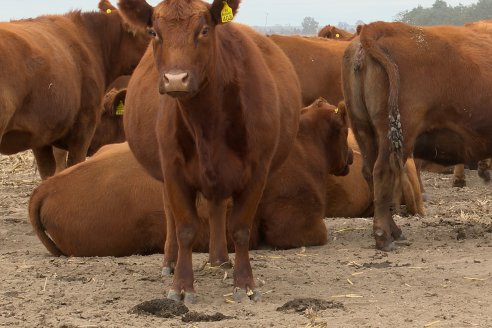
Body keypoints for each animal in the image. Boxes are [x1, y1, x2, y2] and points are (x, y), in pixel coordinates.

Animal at [118, 0, 302, 302]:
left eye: (204, 30)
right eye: (153, 32)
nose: (175, 79)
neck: (208, 123)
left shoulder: (257, 172)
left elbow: (240, 228)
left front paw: (244, 283)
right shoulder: (174, 171)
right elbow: (185, 228)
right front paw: (181, 286)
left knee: (217, 209)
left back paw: (220, 259)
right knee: (171, 214)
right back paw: (170, 261)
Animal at [344, 21, 492, 250]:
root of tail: (376, 28)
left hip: (364, 130)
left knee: (370, 173)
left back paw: (394, 231)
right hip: (395, 135)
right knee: (382, 172)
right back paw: (384, 236)